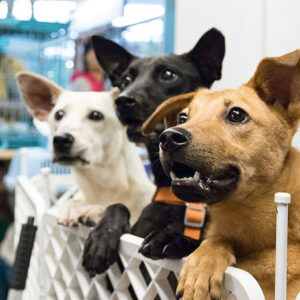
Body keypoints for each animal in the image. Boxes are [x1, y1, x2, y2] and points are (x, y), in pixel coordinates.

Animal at [16, 72, 155, 226]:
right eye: (58, 114)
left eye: (96, 115)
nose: (61, 139)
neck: (104, 186)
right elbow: (74, 201)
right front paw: (72, 206)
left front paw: (95, 210)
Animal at [82, 28, 225, 276]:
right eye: (126, 79)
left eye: (168, 75)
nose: (123, 101)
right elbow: (118, 206)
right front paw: (101, 237)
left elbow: (203, 244)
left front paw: (174, 238)